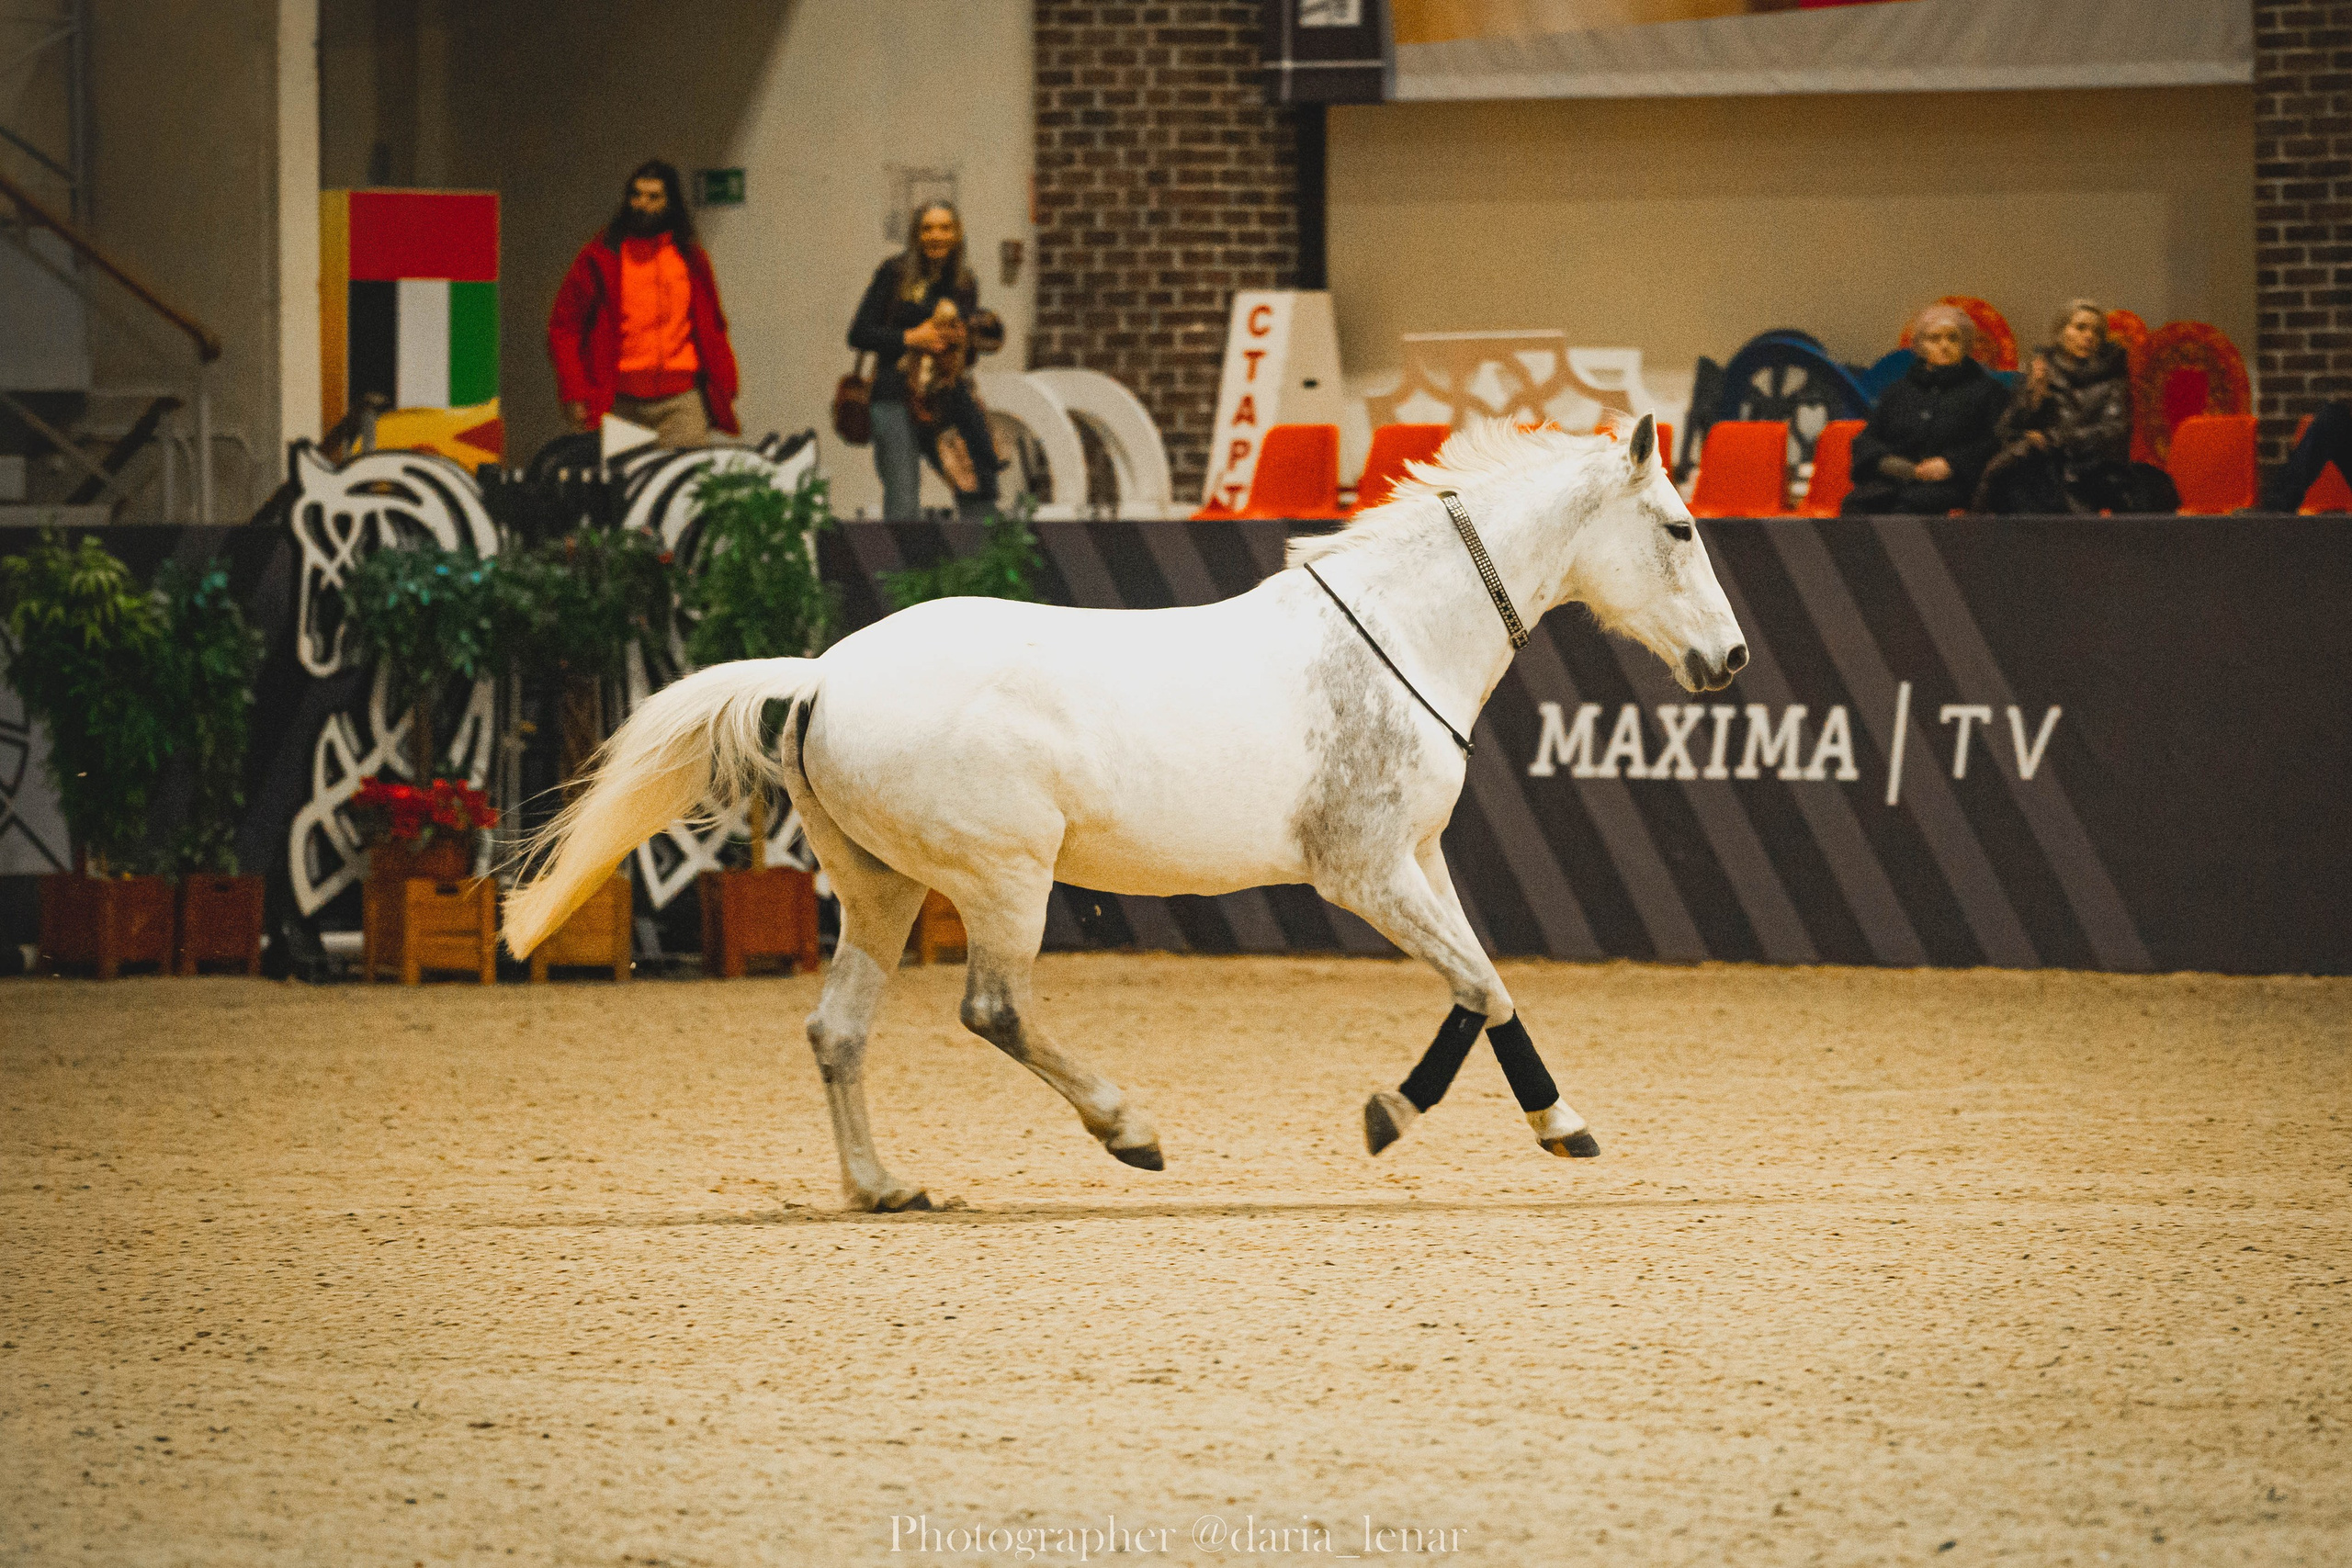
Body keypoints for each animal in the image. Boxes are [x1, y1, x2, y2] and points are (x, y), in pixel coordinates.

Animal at [503, 415, 1747, 1211]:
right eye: (1680, 528)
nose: (1729, 659)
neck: (1397, 637)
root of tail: (820, 676)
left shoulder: (1418, 861)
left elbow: (1487, 988)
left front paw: (1539, 1122)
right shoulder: (1365, 871)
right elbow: (1478, 988)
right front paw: (1409, 1116)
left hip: (881, 889)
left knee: (837, 1031)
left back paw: (883, 1187)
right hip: (1003, 879)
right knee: (995, 1010)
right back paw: (1126, 1130)